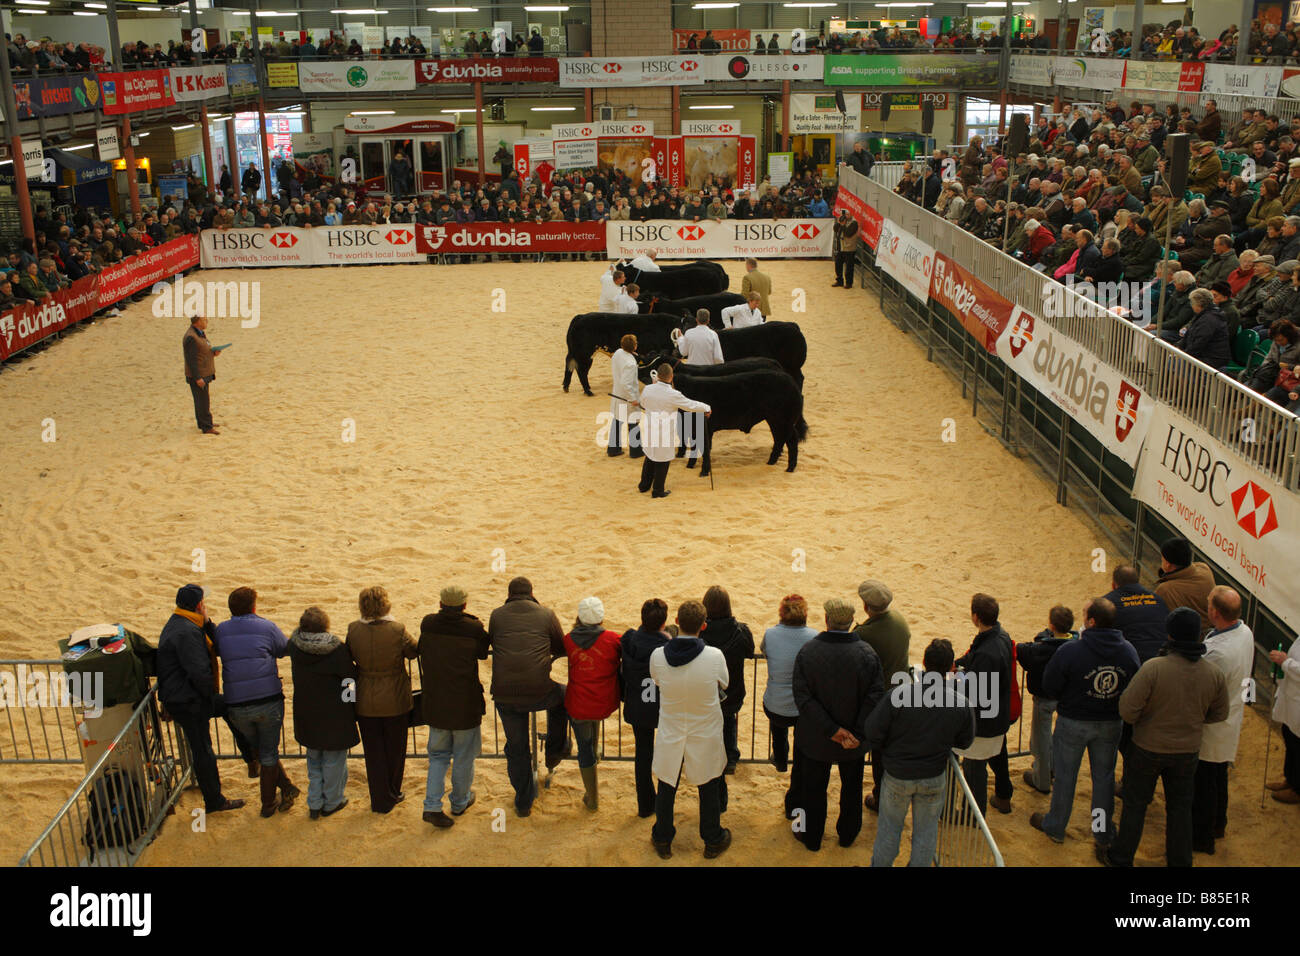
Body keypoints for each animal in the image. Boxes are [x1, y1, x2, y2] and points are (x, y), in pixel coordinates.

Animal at [665, 366, 806, 478]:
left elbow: (705, 449)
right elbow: (696, 448)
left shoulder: (704, 429)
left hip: (783, 419)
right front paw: (689, 467)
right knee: (779, 439)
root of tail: (792, 383)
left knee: (791, 439)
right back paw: (771, 462)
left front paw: (703, 473)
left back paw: (789, 468)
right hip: (774, 420)